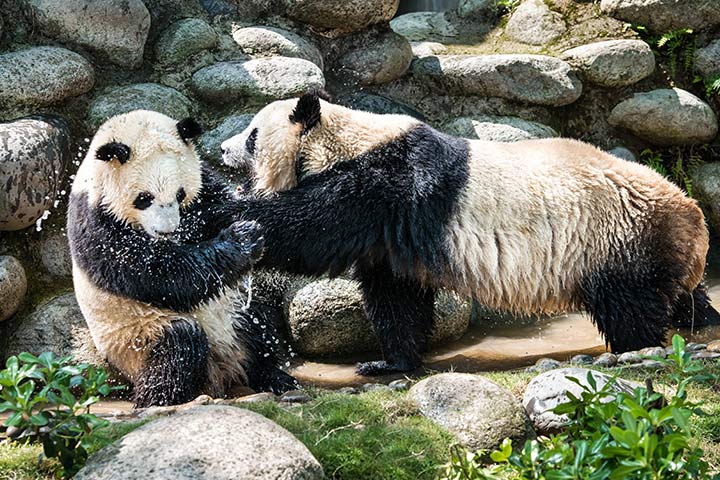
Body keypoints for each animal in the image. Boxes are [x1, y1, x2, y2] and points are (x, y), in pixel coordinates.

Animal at [64, 110, 296, 406]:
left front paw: (252, 223)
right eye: (144, 198)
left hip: (231, 306)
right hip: (135, 339)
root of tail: (223, 366)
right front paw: (241, 239)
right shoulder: (98, 220)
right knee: (177, 347)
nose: (168, 229)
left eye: (180, 194)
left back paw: (274, 376)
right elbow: (160, 274)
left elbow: (221, 204)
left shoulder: (205, 185)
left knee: (257, 318)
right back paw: (160, 400)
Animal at [221, 89, 720, 376]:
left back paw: (635, 350)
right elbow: (395, 295)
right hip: (653, 250)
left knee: (630, 307)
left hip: (615, 239)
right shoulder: (389, 232)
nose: (223, 150)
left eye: (251, 134)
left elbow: (312, 229)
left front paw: (227, 209)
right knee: (680, 299)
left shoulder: (382, 183)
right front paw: (389, 362)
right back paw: (702, 322)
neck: (343, 138)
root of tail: (694, 220)